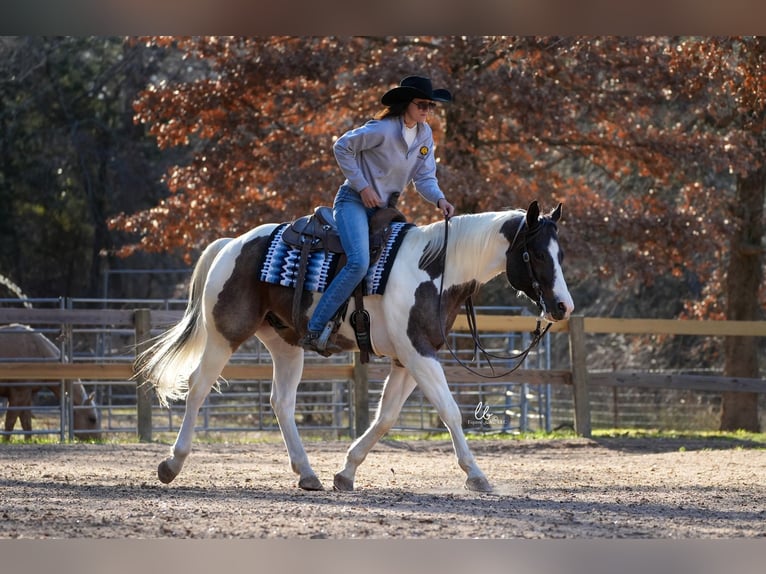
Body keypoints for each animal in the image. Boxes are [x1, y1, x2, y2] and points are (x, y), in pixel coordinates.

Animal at [138, 200, 572, 492]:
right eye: (535, 253)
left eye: (561, 253)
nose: (562, 307)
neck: (435, 270)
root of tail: (232, 244)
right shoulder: (419, 353)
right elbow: (450, 411)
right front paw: (477, 475)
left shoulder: (407, 359)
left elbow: (385, 417)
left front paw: (346, 472)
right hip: (224, 334)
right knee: (198, 387)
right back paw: (171, 464)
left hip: (285, 344)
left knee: (282, 402)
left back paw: (307, 473)